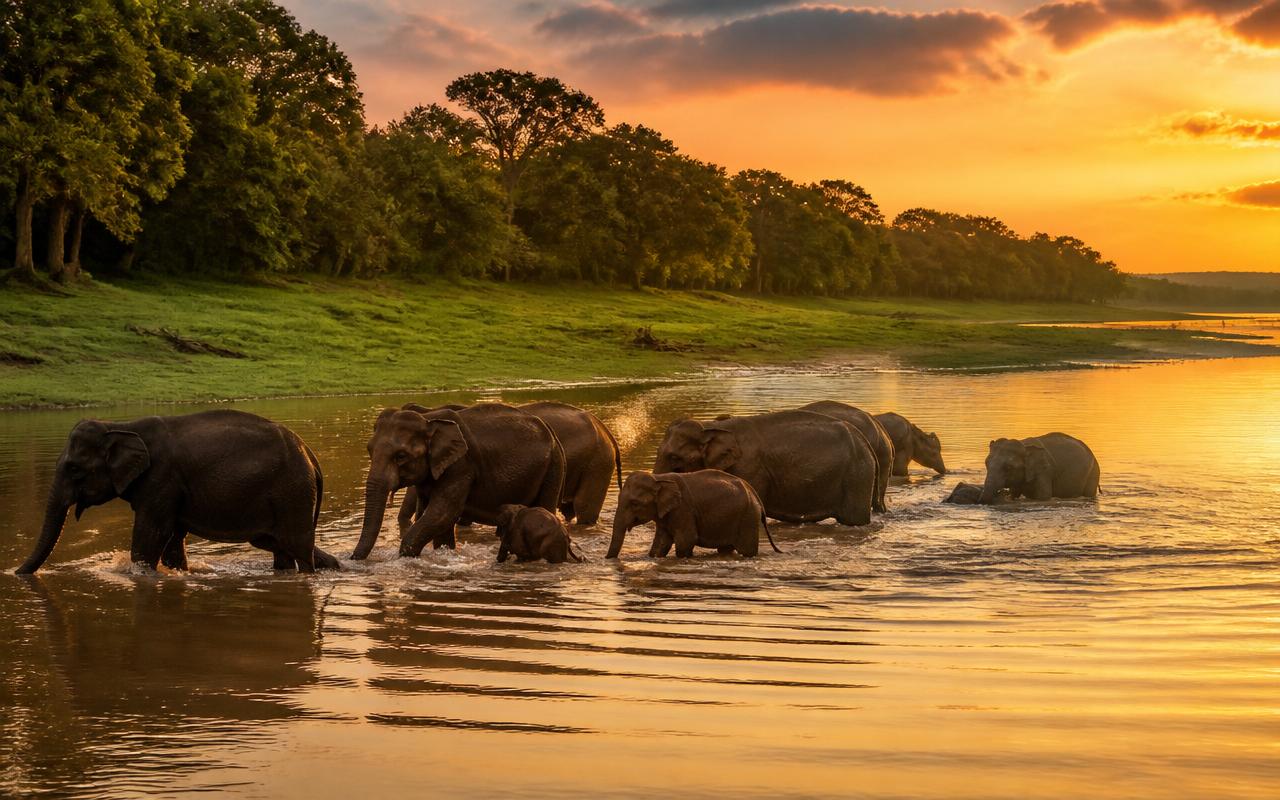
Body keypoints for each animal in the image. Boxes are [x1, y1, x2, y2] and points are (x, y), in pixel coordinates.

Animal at [15, 410, 339, 575]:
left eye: (73, 468)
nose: (16, 573)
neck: (121, 425)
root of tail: (311, 455)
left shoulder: (162, 479)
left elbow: (151, 535)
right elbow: (172, 539)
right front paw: (178, 572)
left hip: (292, 492)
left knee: (297, 546)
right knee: (281, 546)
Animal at [352, 403, 565, 559]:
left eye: (401, 456)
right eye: (369, 450)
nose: (351, 558)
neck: (429, 419)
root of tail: (553, 433)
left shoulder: (461, 467)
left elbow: (442, 514)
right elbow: (430, 515)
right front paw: (443, 553)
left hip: (553, 467)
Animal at [606, 470, 780, 558]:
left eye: (634, 503)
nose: (607, 560)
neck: (659, 479)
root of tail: (753, 492)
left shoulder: (683, 509)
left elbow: (686, 540)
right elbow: (662, 542)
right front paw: (653, 557)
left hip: (748, 518)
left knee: (747, 551)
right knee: (725, 549)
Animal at [653, 410, 878, 526]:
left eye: (674, 456)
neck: (711, 426)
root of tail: (866, 441)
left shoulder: (751, 468)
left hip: (857, 476)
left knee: (854, 519)